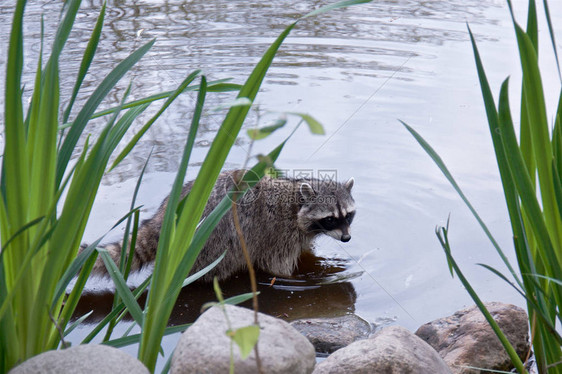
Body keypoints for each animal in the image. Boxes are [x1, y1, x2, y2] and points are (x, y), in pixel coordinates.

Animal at [86, 169, 354, 280]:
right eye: (331, 218)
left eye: (348, 216)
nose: (347, 239)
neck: (295, 202)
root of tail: (164, 219)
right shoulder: (276, 234)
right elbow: (277, 268)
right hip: (214, 240)